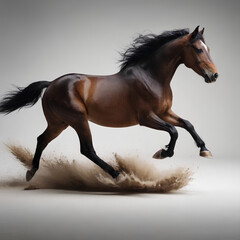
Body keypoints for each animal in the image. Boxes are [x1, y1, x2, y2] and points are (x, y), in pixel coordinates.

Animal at [0, 25, 218, 180]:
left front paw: (204, 150)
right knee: (86, 149)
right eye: (198, 49)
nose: (214, 75)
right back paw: (116, 173)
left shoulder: (165, 112)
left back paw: (31, 172)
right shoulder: (147, 118)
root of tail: (51, 84)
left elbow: (187, 124)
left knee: (42, 140)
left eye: (208, 48)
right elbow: (173, 131)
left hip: (59, 123)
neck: (152, 77)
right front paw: (163, 153)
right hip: (78, 119)